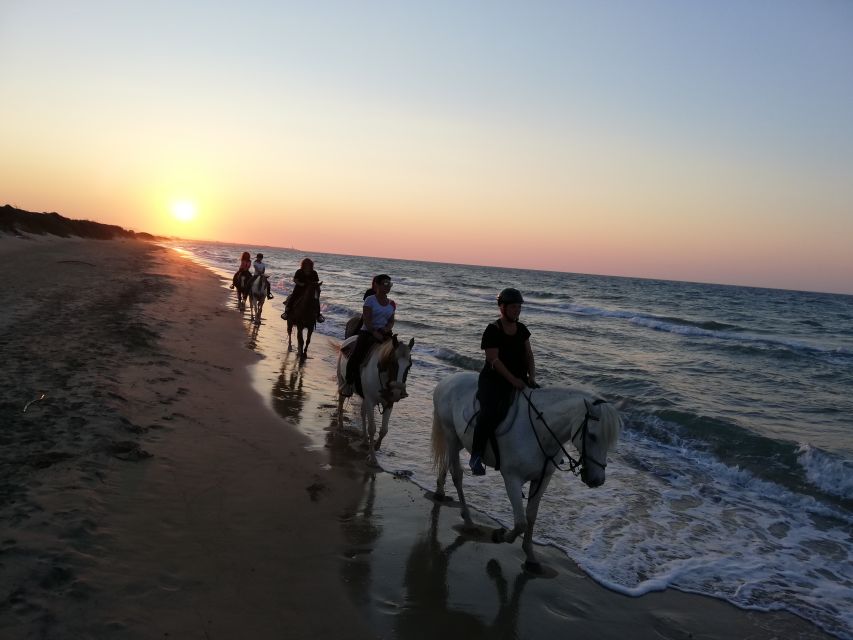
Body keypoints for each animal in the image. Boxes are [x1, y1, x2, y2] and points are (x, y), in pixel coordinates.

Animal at [432, 372, 620, 568]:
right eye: (592, 436)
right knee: (457, 474)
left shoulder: (543, 479)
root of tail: (446, 381)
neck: (540, 431)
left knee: (446, 462)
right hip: (451, 434)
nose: (597, 480)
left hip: (459, 440)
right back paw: (468, 519)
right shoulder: (512, 478)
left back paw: (440, 491)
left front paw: (530, 555)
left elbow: (531, 515)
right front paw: (499, 535)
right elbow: (521, 523)